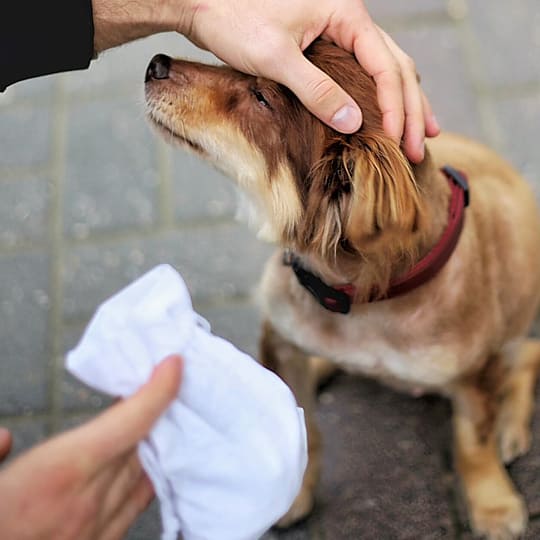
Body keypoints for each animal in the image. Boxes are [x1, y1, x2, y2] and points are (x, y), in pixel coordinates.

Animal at [143, 40, 540, 536]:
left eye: (261, 98)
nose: (155, 64)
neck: (360, 302)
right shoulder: (280, 338)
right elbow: (302, 424)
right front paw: (291, 493)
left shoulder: (475, 372)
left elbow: (474, 441)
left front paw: (493, 505)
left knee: (528, 355)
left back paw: (510, 424)